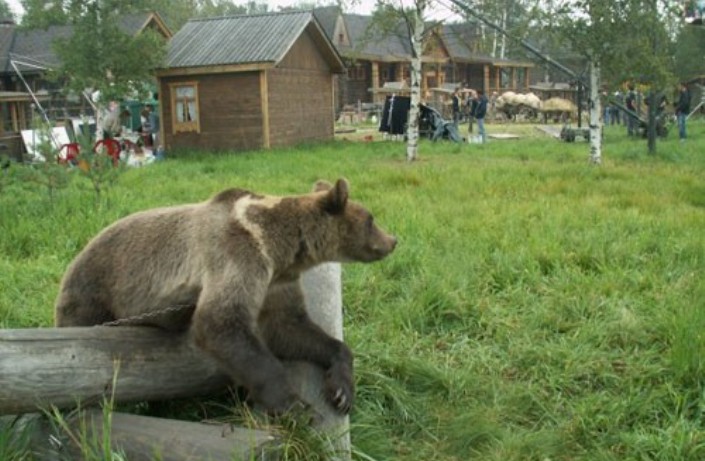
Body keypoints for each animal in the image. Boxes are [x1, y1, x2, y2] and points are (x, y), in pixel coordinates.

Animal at [55, 177, 396, 414]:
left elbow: (290, 328)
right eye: (371, 219)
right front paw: (294, 404)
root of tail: (73, 261)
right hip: (92, 293)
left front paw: (341, 391)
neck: (278, 247)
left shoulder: (275, 282)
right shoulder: (237, 254)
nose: (393, 240)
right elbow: (220, 322)